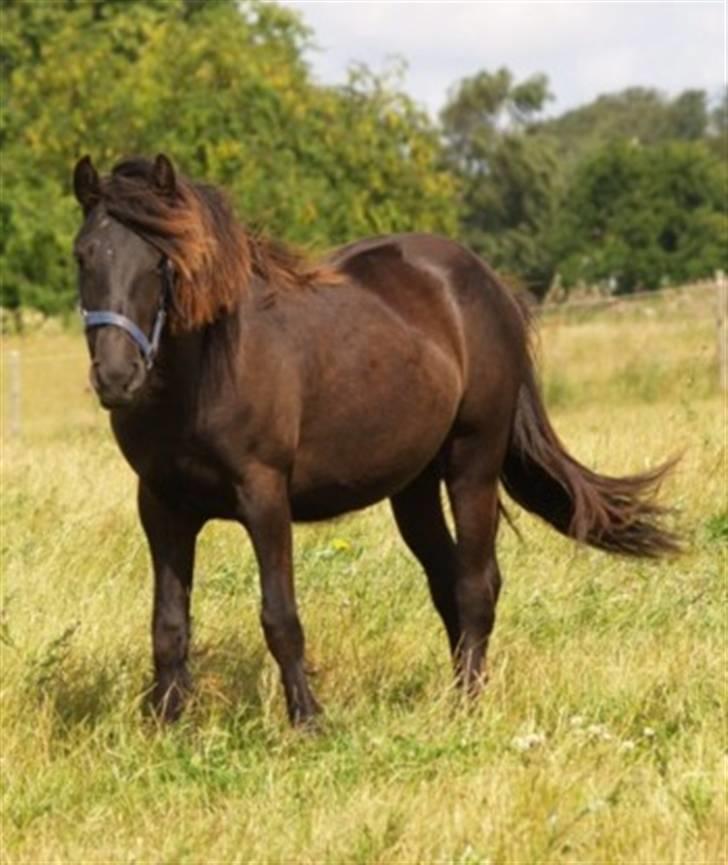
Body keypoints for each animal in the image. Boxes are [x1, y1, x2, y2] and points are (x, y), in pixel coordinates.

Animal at [72, 153, 679, 726]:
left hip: (473, 465)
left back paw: (467, 706)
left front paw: (308, 721)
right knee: (447, 581)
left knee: (477, 584)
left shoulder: (264, 497)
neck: (203, 374)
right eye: (83, 255)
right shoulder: (161, 506)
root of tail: (490, 285)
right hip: (413, 488)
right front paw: (166, 722)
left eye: (160, 261)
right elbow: (169, 624)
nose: (117, 377)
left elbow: (280, 616)